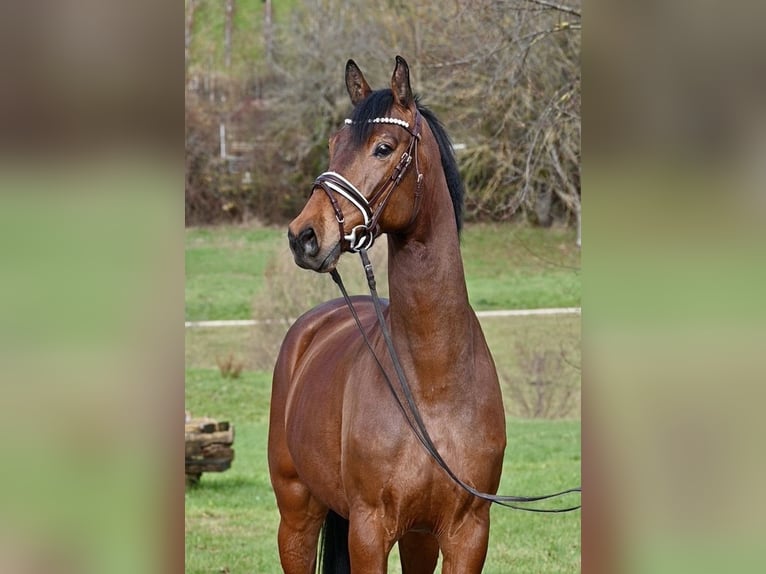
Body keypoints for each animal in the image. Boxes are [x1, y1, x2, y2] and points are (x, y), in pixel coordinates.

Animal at [270, 55, 510, 574]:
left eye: (384, 147)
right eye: (333, 145)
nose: (305, 235)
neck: (433, 385)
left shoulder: (465, 533)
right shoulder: (368, 529)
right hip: (296, 515)